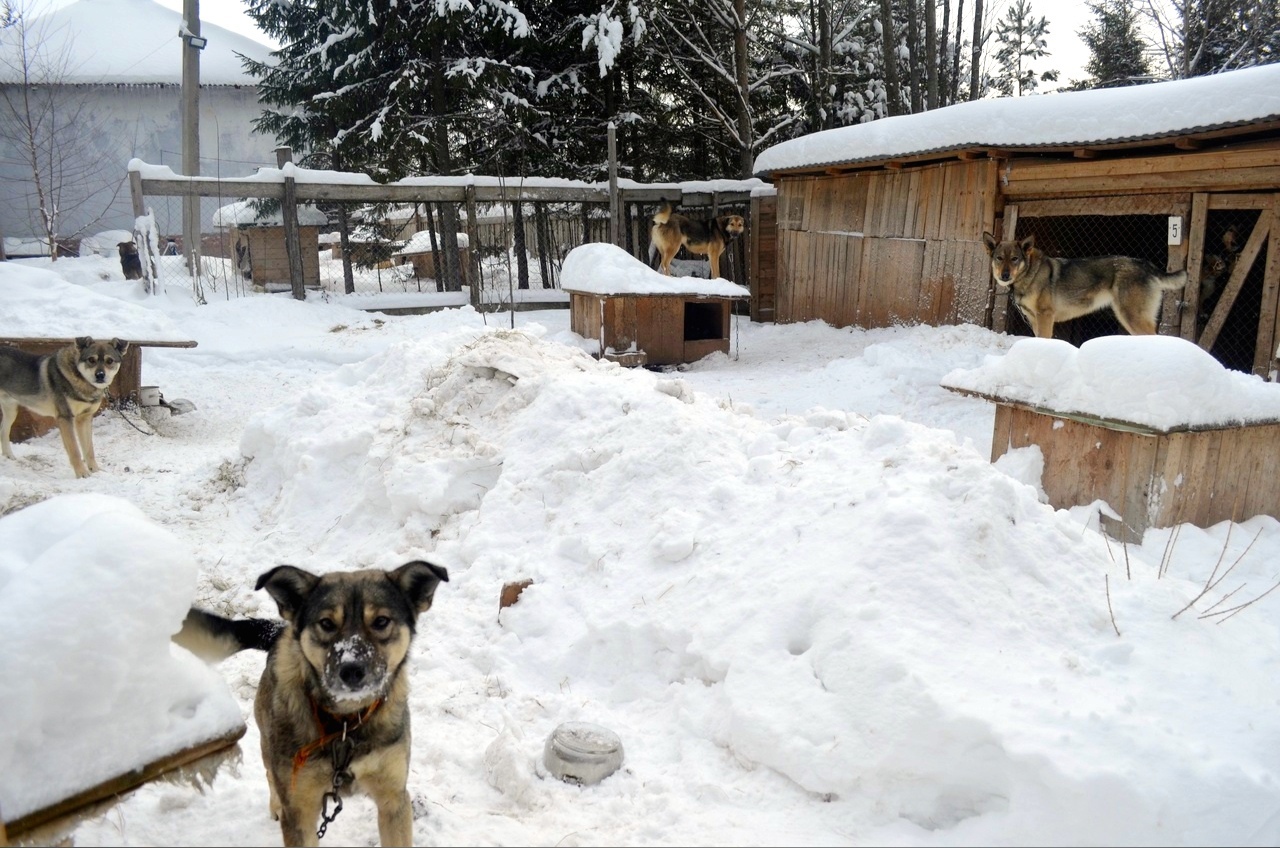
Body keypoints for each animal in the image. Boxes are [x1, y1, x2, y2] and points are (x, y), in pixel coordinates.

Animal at [172, 561, 448, 845]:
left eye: (381, 621)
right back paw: (275, 805)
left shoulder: (394, 799)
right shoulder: (300, 810)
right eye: (326, 623)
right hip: (269, 742)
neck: (345, 723)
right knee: (270, 773)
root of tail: (279, 632)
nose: (351, 670)